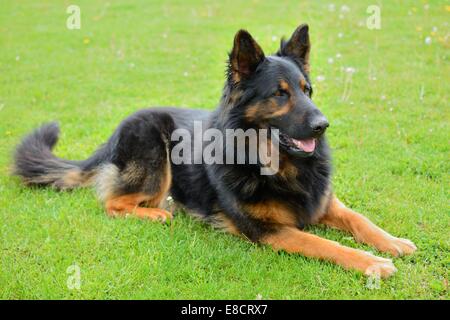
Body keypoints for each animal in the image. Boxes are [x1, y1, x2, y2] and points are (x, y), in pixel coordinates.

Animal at [13, 23, 414, 276]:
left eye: (307, 90)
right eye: (280, 93)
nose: (323, 124)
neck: (277, 165)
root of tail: (114, 133)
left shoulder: (324, 201)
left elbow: (360, 219)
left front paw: (391, 242)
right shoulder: (267, 230)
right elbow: (323, 244)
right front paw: (371, 263)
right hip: (154, 150)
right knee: (113, 202)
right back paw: (157, 214)